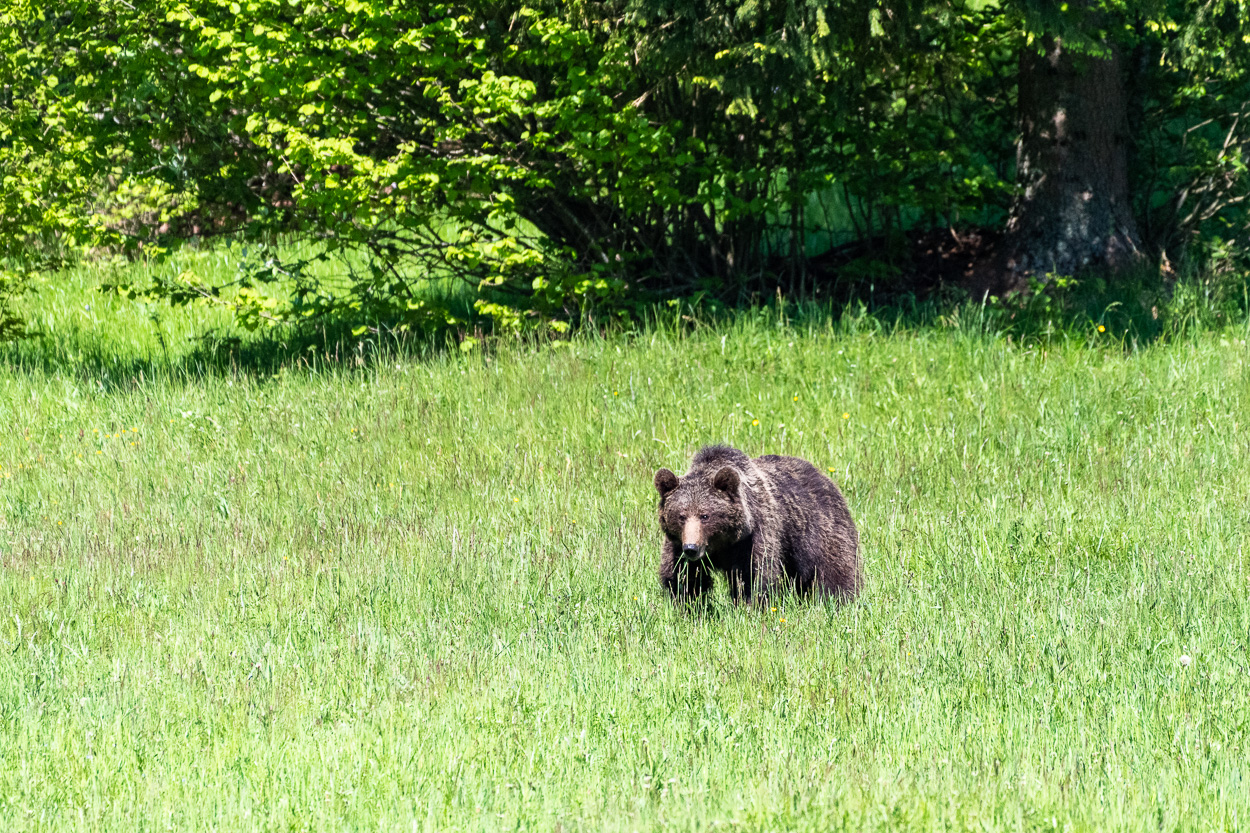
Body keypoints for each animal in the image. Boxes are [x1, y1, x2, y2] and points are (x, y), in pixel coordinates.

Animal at [655, 445, 860, 600]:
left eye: (705, 515)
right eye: (681, 516)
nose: (691, 548)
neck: (721, 544)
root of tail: (823, 475)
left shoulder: (754, 537)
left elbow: (753, 576)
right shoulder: (677, 545)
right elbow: (683, 578)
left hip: (820, 529)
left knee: (836, 570)